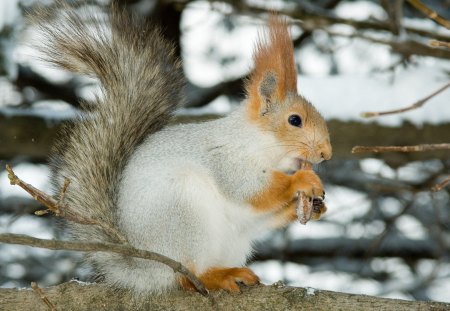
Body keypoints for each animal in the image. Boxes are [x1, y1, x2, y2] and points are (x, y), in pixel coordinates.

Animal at [34, 1, 330, 294]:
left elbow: (261, 216)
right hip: (184, 214)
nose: (326, 153)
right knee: (186, 275)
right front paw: (302, 181)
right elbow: (250, 189)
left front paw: (313, 207)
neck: (260, 142)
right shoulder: (226, 159)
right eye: (295, 120)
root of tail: (144, 269)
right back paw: (217, 277)